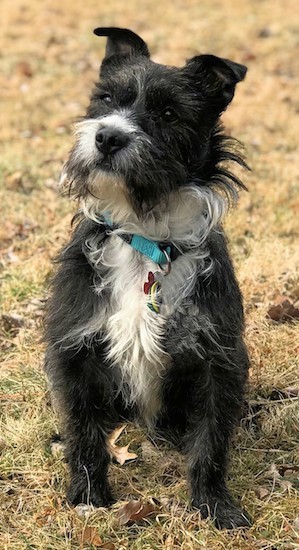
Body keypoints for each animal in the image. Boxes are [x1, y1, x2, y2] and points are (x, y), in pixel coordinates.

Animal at [44, 29, 251, 532]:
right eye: (105, 99)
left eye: (169, 114)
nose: (108, 136)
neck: (146, 237)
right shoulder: (73, 351)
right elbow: (84, 433)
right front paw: (88, 495)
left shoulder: (221, 359)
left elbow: (211, 441)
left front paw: (214, 504)